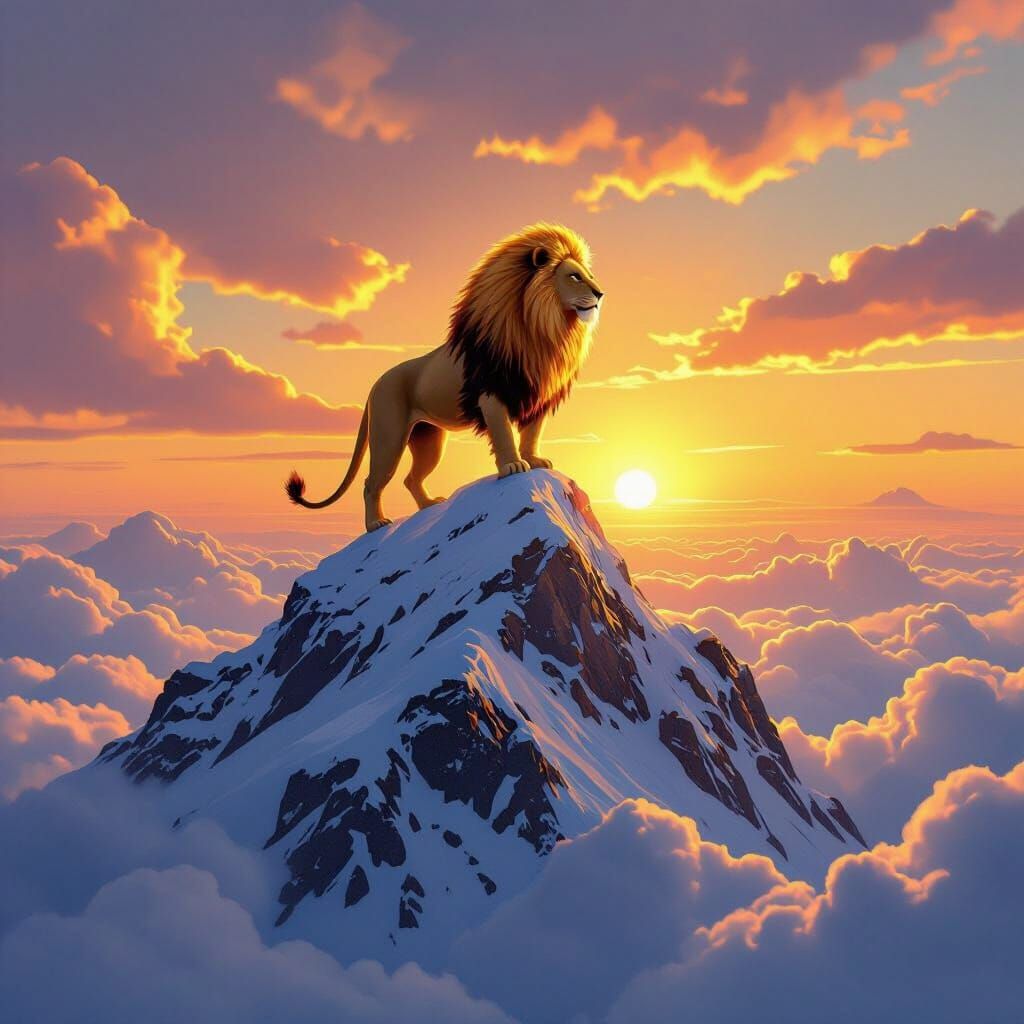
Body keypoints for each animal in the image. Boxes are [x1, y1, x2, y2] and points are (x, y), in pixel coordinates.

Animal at [285, 222, 604, 532]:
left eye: (589, 275)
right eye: (574, 276)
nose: (600, 294)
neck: (543, 329)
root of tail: (376, 384)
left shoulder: (536, 395)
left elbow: (531, 434)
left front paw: (535, 460)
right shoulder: (491, 395)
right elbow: (503, 434)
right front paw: (513, 465)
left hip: (429, 440)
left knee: (410, 479)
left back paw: (428, 505)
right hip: (389, 436)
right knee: (371, 483)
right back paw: (375, 524)